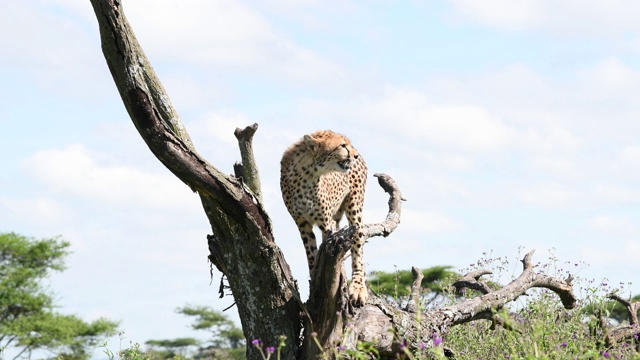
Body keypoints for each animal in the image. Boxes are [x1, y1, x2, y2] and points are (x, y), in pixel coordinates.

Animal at [282, 129, 368, 304]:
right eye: (343, 145)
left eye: (348, 144)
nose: (355, 155)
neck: (307, 174)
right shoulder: (302, 224)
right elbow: (311, 255)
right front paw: (314, 282)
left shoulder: (326, 223)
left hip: (354, 208)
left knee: (358, 246)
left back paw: (358, 287)